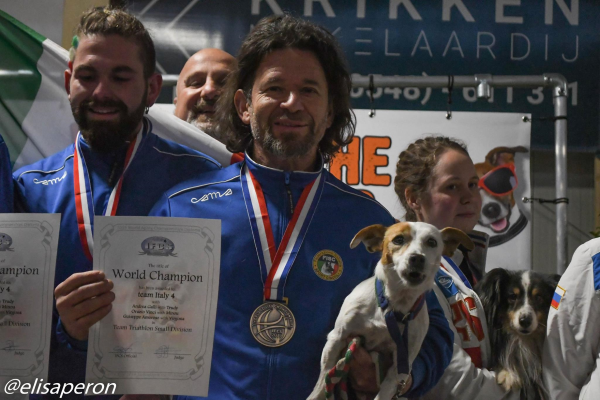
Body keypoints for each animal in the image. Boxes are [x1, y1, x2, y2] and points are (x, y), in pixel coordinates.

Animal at [308, 222, 473, 400]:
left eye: (432, 242)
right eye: (398, 239)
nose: (417, 258)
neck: (393, 306)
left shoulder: (400, 366)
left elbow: (384, 393)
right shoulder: (337, 338)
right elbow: (321, 383)